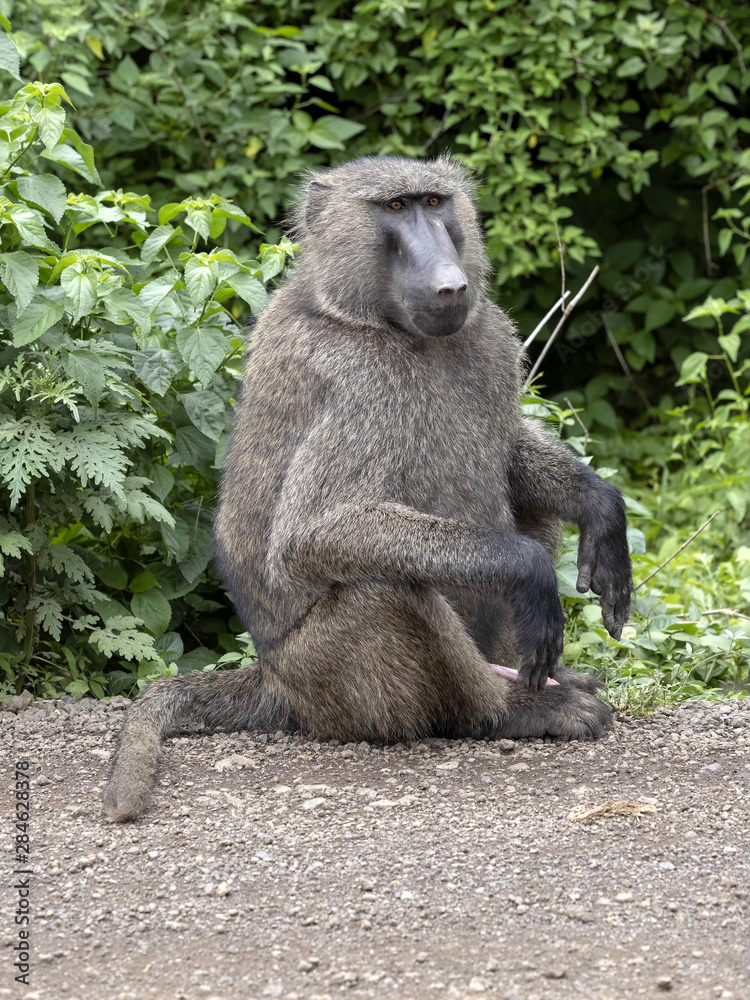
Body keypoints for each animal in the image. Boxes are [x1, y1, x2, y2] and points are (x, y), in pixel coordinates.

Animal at [102, 155, 632, 823]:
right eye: (396, 208)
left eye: (434, 202)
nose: (451, 285)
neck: (373, 318)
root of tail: (274, 680)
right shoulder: (357, 382)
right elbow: (312, 531)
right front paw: (532, 571)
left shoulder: (489, 338)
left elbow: (511, 451)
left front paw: (602, 510)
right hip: (327, 681)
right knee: (385, 585)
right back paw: (508, 712)